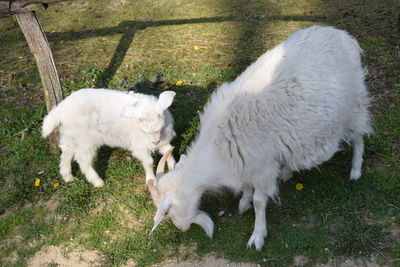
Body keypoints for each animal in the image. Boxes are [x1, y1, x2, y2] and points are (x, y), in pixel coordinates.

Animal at [148, 26, 374, 250]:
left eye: (166, 211)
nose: (182, 229)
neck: (217, 151)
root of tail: (342, 35)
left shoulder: (263, 166)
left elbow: (259, 202)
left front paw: (257, 235)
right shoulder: (247, 162)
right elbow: (247, 188)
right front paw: (244, 202)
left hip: (354, 103)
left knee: (358, 137)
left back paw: (355, 171)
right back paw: (288, 172)